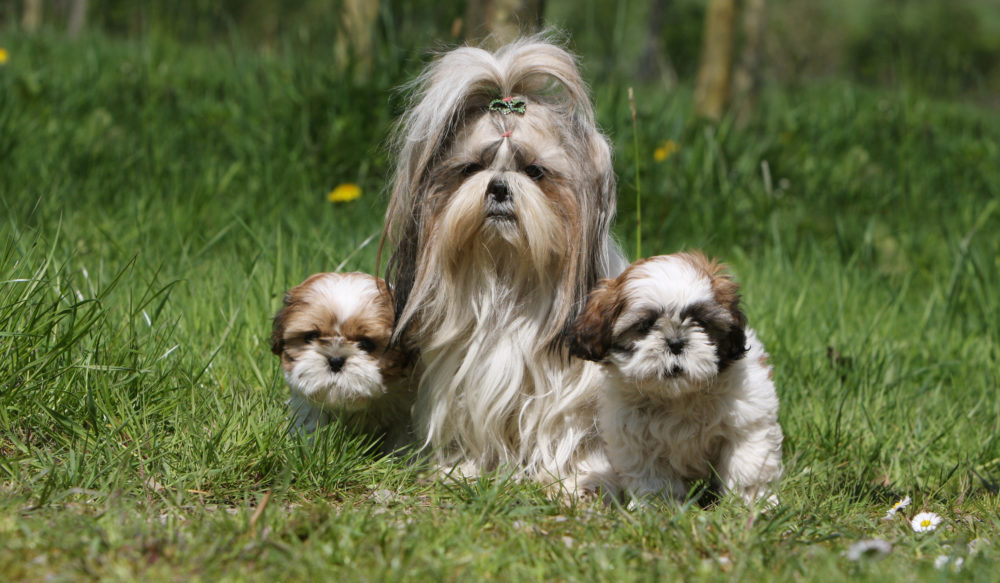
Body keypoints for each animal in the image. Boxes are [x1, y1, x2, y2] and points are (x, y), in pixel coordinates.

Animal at [376, 36, 624, 492]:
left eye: (535, 171)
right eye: (471, 168)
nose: (498, 187)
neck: (508, 272)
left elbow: (566, 429)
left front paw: (571, 481)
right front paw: (464, 468)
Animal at [568, 253, 784, 504]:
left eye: (701, 323)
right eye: (645, 325)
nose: (676, 343)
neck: (680, 395)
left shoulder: (747, 423)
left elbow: (747, 465)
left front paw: (753, 502)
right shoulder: (637, 440)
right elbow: (653, 478)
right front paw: (659, 506)